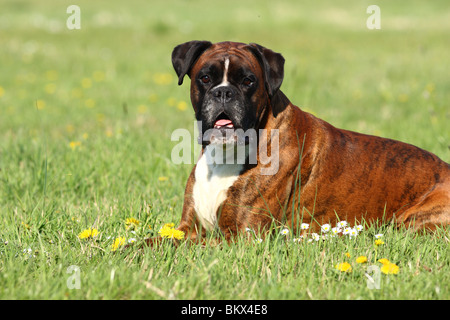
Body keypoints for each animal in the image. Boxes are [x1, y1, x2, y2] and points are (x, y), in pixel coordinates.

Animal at [161, 41, 446, 244]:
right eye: (205, 78)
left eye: (248, 81)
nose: (223, 92)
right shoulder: (187, 228)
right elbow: (159, 240)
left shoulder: (240, 236)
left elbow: (185, 247)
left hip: (410, 223)